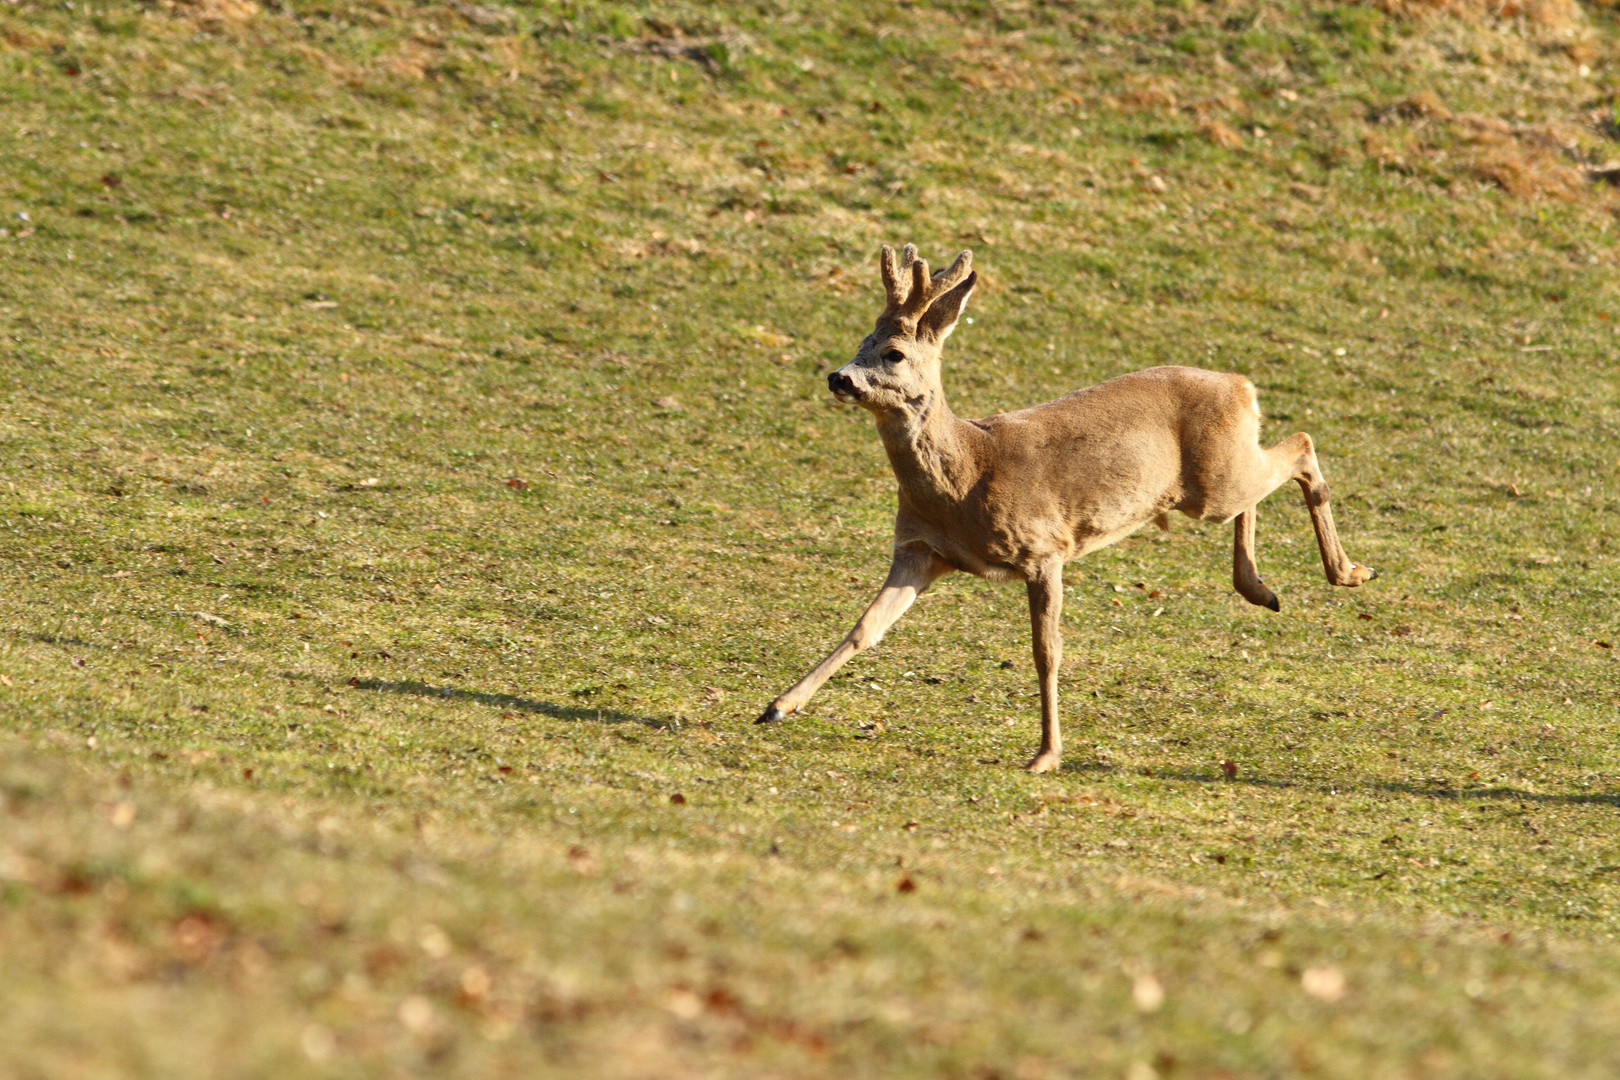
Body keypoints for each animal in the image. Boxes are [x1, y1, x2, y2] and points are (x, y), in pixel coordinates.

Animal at [751, 244, 1373, 773]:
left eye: (894, 352)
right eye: (861, 340)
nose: (839, 377)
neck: (966, 477)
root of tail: (1243, 385)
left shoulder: (1043, 549)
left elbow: (1046, 651)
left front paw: (1046, 755)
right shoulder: (920, 552)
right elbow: (865, 628)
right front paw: (777, 705)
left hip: (1216, 483)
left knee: (1301, 446)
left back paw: (1348, 571)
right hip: (1216, 484)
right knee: (1268, 477)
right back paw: (1261, 589)